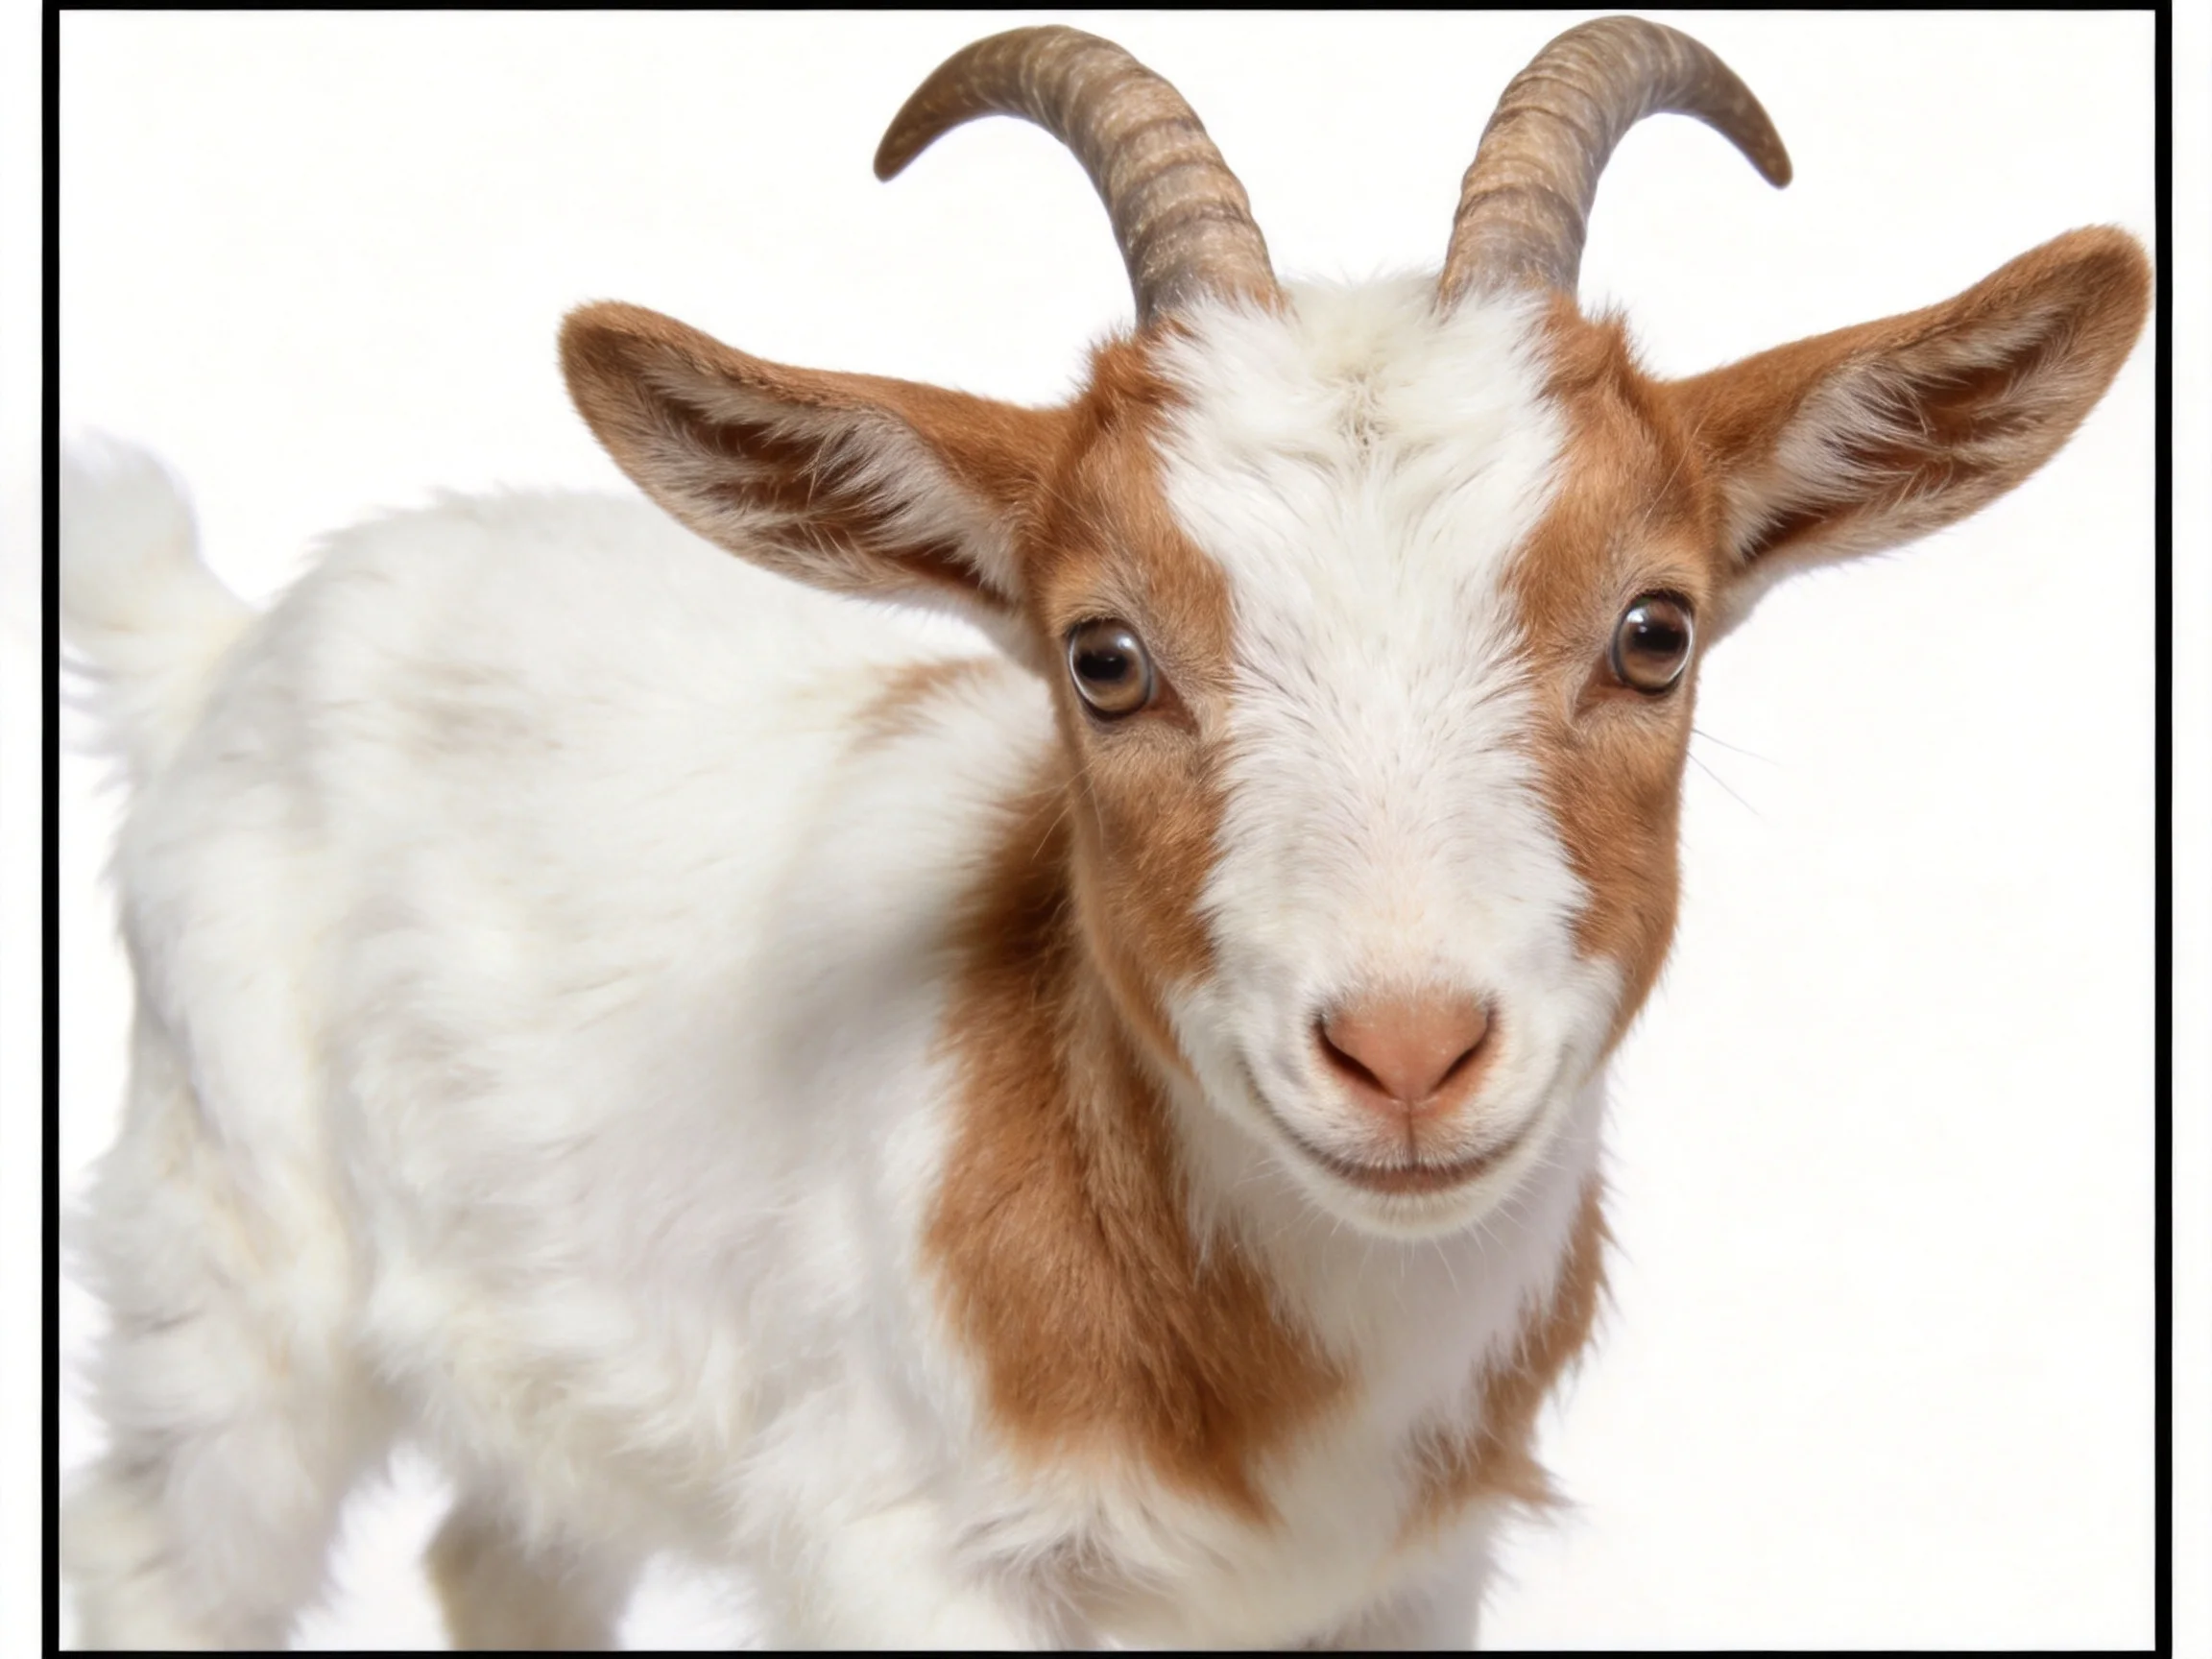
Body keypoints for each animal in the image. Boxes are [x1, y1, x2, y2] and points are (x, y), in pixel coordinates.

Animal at [59, 16, 2151, 1650]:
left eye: (1656, 629)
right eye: (1103, 654)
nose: (1408, 1050)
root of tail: (227, 640)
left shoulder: (1403, 1581)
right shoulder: (908, 1553)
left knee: (508, 1558)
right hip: (225, 1280)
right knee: (166, 1547)